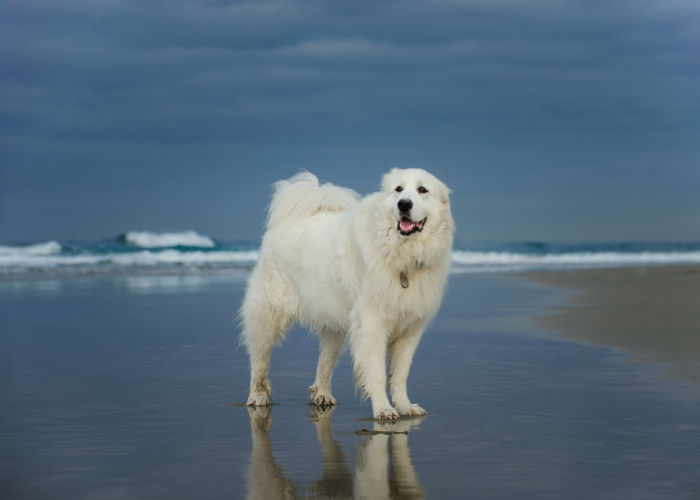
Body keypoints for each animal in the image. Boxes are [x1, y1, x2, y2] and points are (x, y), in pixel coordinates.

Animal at [241, 168, 454, 418]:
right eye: (398, 189)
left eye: (422, 190)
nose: (403, 204)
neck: (400, 256)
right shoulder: (372, 324)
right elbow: (377, 372)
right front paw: (383, 409)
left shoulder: (409, 330)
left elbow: (400, 375)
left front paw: (404, 406)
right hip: (268, 317)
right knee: (259, 360)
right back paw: (257, 397)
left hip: (333, 325)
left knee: (324, 363)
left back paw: (322, 395)